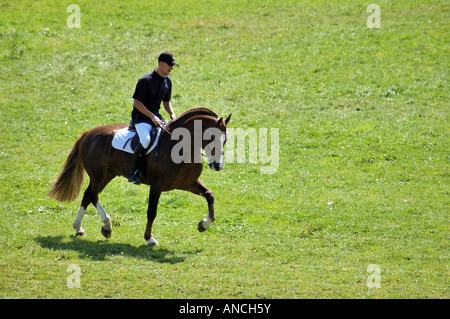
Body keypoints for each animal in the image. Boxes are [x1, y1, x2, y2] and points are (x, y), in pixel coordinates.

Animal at [48, 108, 232, 248]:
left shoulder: (189, 183)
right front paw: (149, 238)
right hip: (98, 175)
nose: (218, 166)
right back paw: (107, 225)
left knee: (88, 195)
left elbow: (209, 195)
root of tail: (89, 133)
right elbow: (151, 212)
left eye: (225, 140)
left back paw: (79, 228)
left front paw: (204, 224)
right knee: (92, 195)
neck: (181, 146)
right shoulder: (157, 185)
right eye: (212, 137)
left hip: (108, 174)